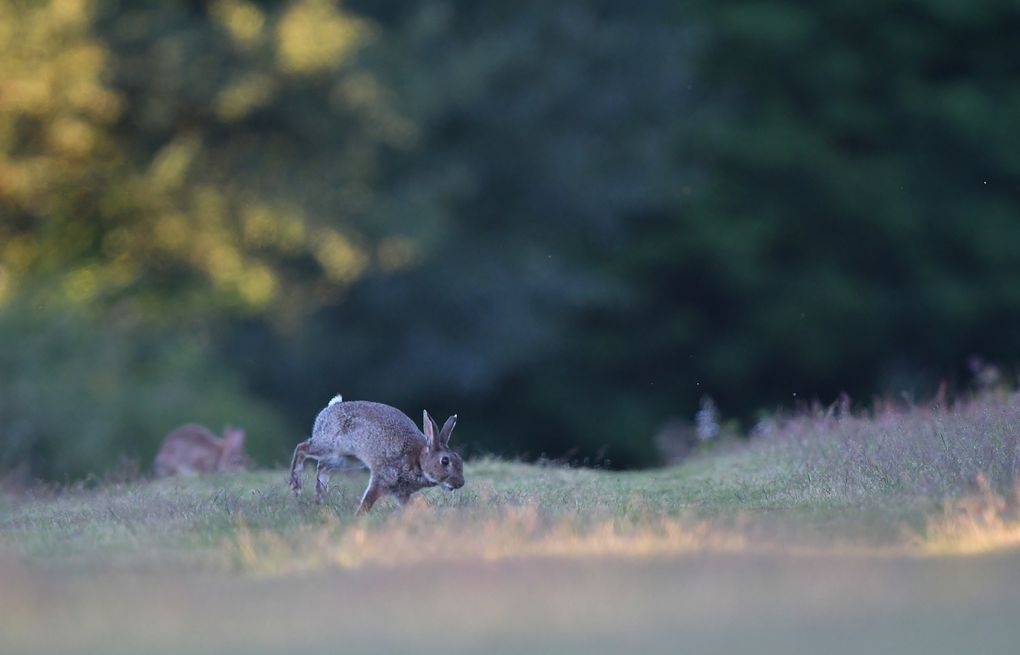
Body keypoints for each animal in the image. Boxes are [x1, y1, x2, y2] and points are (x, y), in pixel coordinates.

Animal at [287, 391, 463, 514]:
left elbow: (407, 506)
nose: (460, 483)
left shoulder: (402, 493)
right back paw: (296, 486)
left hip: (345, 459)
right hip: (331, 445)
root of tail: (329, 409)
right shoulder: (382, 479)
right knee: (302, 448)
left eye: (460, 460)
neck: (419, 461)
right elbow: (368, 501)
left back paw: (320, 496)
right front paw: (357, 518)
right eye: (445, 461)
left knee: (322, 466)